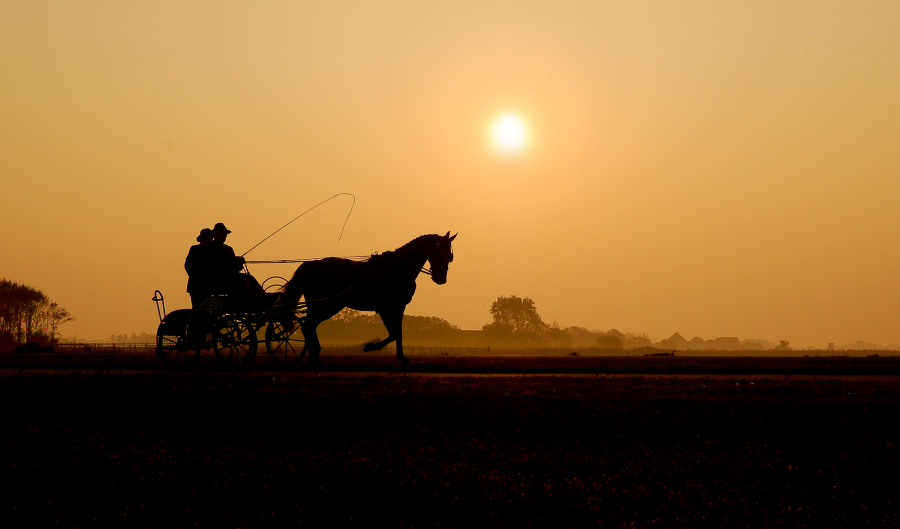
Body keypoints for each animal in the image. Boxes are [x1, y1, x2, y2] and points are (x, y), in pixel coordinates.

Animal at [282, 231, 458, 364]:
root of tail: (312, 264)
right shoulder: (385, 308)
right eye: (441, 252)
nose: (441, 279)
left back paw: (314, 355)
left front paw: (402, 357)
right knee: (308, 326)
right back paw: (314, 355)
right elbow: (393, 333)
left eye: (450, 256)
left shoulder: (399, 307)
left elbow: (398, 333)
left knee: (309, 326)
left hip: (325, 306)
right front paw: (370, 346)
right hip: (325, 305)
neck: (397, 268)